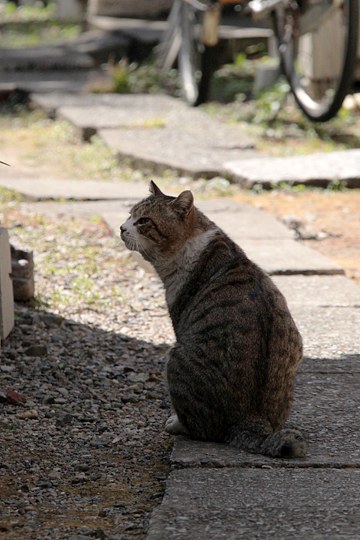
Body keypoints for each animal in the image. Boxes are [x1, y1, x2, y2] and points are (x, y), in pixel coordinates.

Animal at [121, 182, 306, 460]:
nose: (122, 227)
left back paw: (178, 424)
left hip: (176, 358)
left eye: (143, 221)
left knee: (201, 428)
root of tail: (250, 421)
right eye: (130, 214)